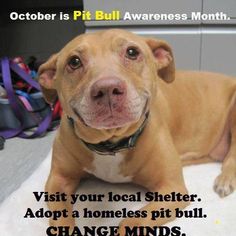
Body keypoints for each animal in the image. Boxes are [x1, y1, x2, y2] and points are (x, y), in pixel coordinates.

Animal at [38, 30, 236, 234]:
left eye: (132, 52)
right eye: (74, 61)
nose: (107, 88)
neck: (112, 143)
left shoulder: (172, 189)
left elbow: (132, 221)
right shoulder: (58, 180)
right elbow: (60, 219)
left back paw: (225, 179)